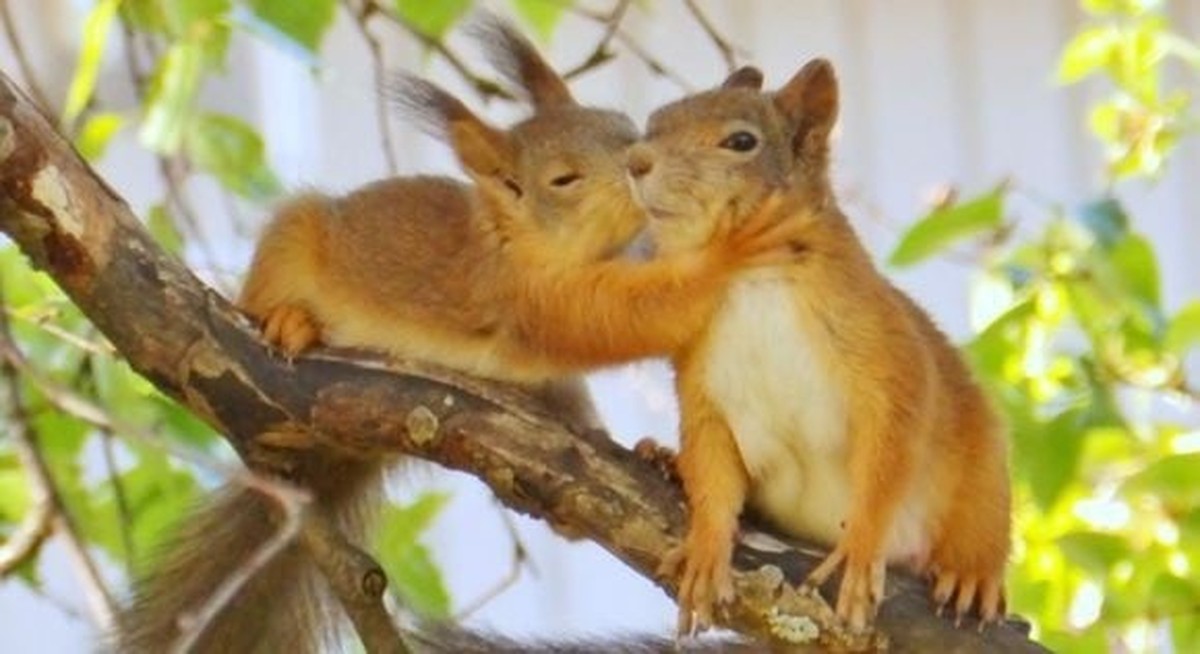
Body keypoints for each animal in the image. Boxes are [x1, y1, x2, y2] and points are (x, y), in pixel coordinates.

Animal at [114, 19, 802, 654]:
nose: (641, 167)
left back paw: (651, 458)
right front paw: (730, 252)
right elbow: (616, 317)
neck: (517, 238)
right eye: (563, 180)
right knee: (260, 293)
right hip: (292, 241)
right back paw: (291, 321)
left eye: (625, 126)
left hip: (555, 395)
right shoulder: (527, 299)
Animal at [626, 60, 1012, 635]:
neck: (747, 276)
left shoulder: (885, 351)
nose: (635, 161)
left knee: (981, 518)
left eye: (742, 141)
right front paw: (706, 547)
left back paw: (972, 574)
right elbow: (713, 469)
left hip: (981, 469)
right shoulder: (701, 385)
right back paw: (667, 460)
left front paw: (860, 546)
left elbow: (892, 443)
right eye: (654, 122)